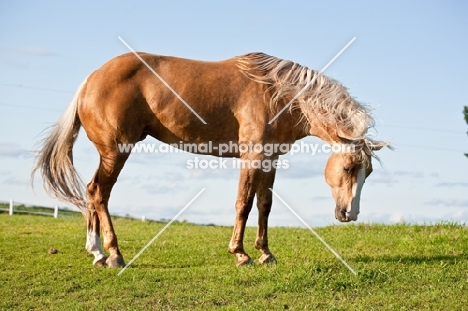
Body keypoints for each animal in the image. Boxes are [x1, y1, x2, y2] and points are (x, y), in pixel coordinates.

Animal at [33, 52, 388, 266]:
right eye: (348, 167)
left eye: (367, 173)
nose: (350, 214)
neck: (277, 94)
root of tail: (90, 80)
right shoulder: (251, 157)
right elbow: (243, 203)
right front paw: (240, 254)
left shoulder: (270, 159)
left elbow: (264, 205)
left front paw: (266, 253)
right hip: (115, 151)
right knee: (98, 193)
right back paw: (113, 254)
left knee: (91, 194)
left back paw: (96, 252)